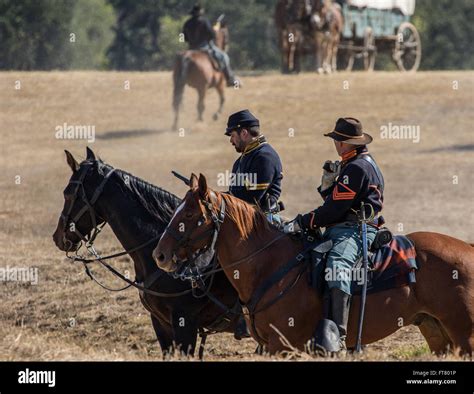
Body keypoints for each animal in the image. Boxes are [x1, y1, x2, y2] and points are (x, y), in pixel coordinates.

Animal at [155, 174, 474, 356]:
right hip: (438, 334)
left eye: (191, 215)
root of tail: (468, 248)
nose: (159, 255)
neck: (269, 266)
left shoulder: (284, 346)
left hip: (464, 334)